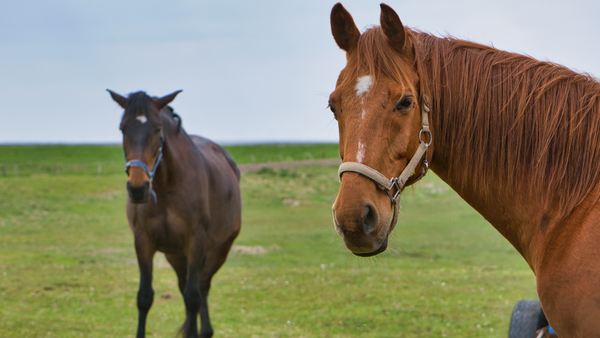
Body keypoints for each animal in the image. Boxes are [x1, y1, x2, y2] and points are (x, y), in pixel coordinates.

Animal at [108, 90, 241, 338]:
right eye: (122, 128)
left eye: (157, 129)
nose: (138, 188)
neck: (168, 186)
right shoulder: (144, 242)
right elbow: (145, 297)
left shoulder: (196, 243)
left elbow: (192, 298)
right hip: (176, 255)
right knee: (186, 285)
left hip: (218, 250)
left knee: (201, 287)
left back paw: (205, 330)